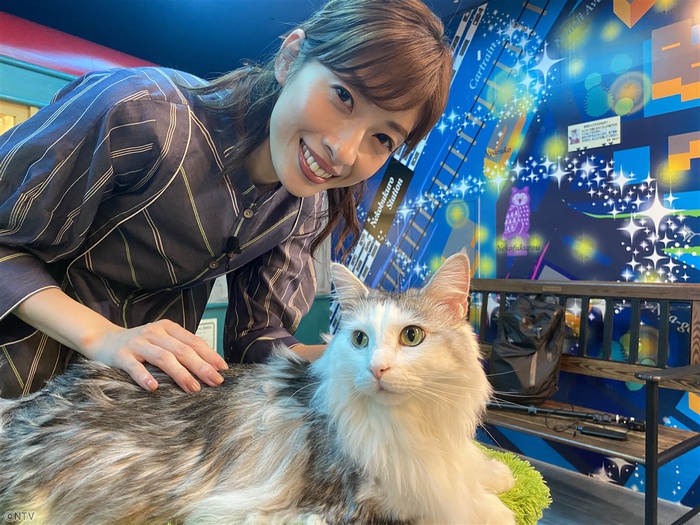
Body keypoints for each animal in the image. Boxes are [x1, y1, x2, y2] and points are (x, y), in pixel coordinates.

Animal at [0, 252, 515, 525]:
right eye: (360, 339)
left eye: (411, 337)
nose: (377, 369)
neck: (411, 423)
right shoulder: (338, 508)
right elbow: (466, 509)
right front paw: (493, 505)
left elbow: (468, 468)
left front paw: (496, 474)